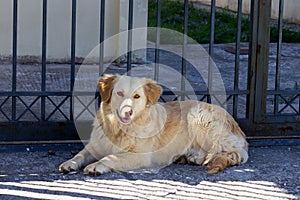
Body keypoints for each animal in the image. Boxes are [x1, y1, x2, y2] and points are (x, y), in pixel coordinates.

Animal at [59, 74, 248, 175]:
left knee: (233, 152)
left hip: (197, 114)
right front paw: (69, 163)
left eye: (137, 96)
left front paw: (96, 166)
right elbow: (80, 155)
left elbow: (111, 157)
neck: (119, 129)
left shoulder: (139, 156)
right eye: (119, 93)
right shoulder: (94, 146)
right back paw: (191, 157)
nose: (127, 112)